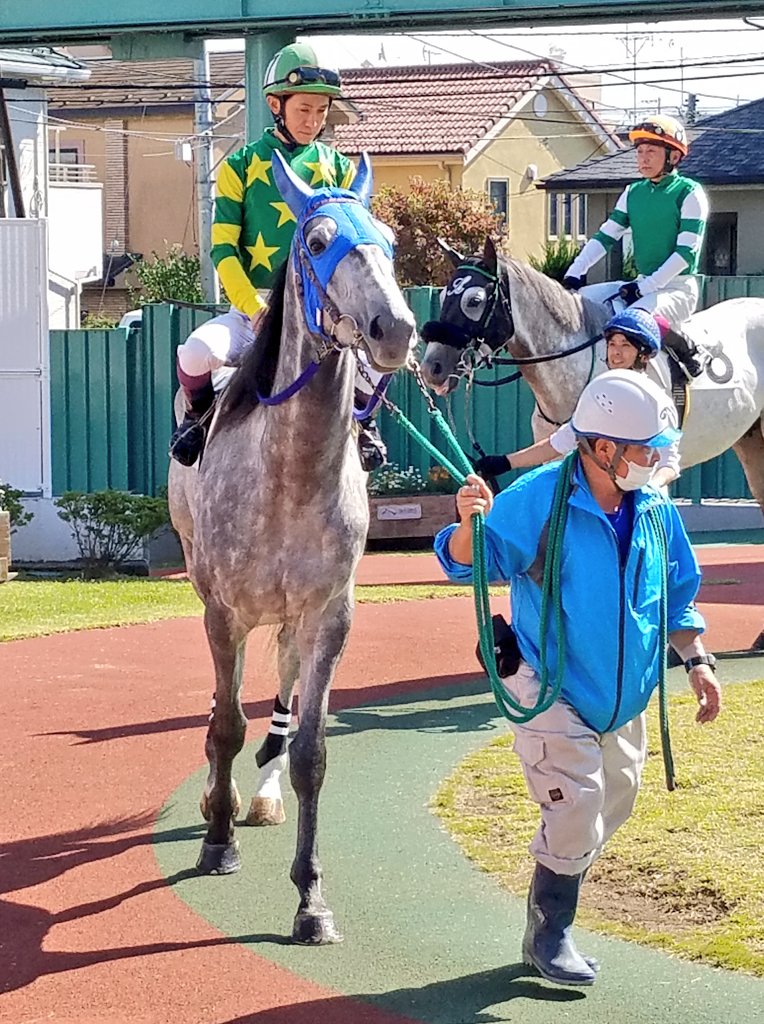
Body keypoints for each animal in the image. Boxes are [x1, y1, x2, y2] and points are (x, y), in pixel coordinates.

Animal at [168, 152, 416, 944]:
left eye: (391, 240)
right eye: (316, 241)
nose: (394, 328)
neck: (291, 473)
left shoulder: (329, 615)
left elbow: (309, 751)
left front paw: (310, 896)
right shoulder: (224, 613)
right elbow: (223, 725)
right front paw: (218, 841)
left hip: (288, 619)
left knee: (278, 702)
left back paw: (265, 794)